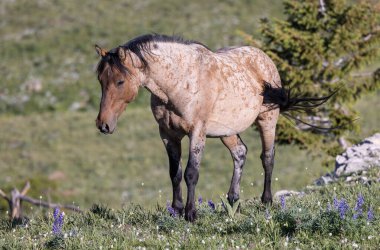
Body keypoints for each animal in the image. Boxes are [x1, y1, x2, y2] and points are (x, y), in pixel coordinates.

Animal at [94, 33, 330, 221]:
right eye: (100, 80)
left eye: (120, 81)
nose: (103, 124)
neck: (180, 82)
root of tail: (264, 58)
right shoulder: (168, 134)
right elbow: (174, 173)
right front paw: (176, 210)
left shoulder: (197, 132)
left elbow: (191, 172)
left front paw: (190, 214)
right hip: (228, 131)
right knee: (240, 153)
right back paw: (233, 201)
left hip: (267, 120)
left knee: (267, 158)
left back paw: (267, 201)